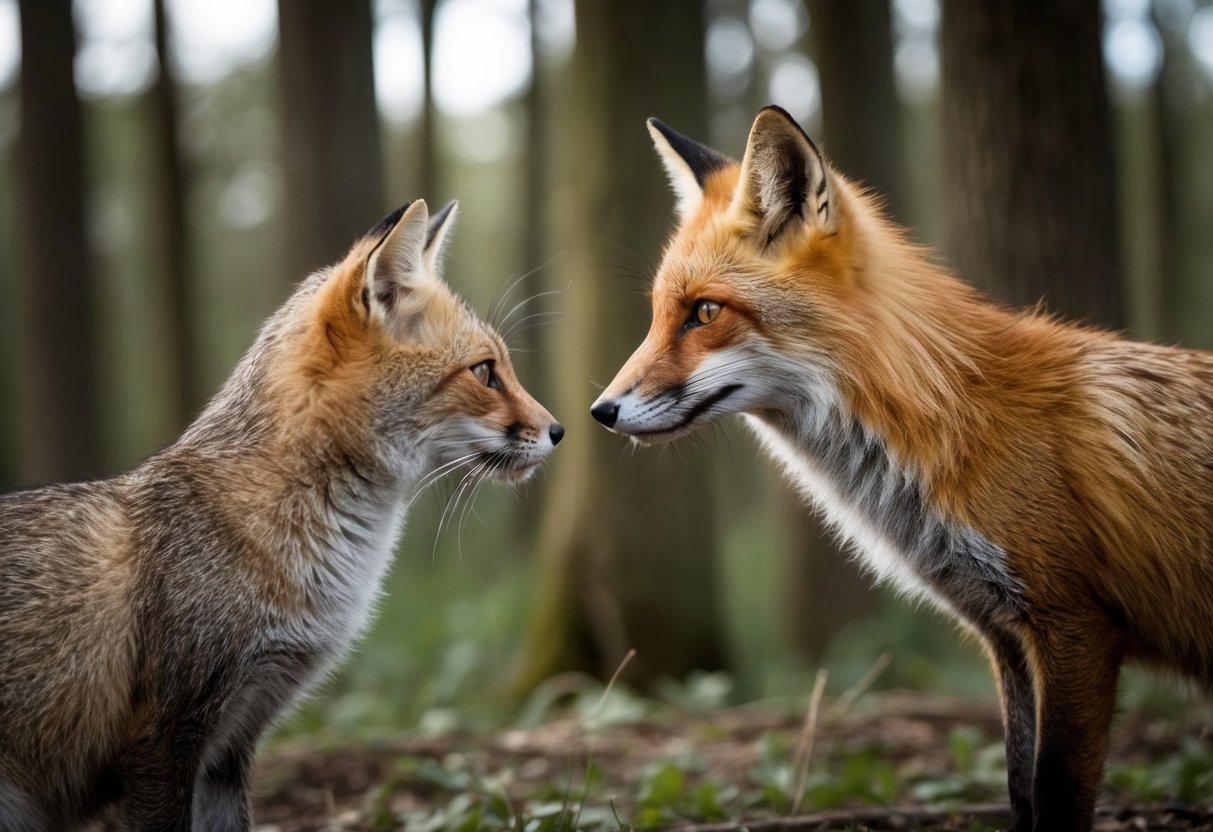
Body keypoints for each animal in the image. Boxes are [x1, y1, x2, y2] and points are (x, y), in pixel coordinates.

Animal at [590, 105, 1213, 832]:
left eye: (705, 312)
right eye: (658, 313)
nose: (600, 411)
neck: (951, 416)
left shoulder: (1074, 626)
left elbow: (1055, 791)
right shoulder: (1004, 634)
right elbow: (1020, 788)